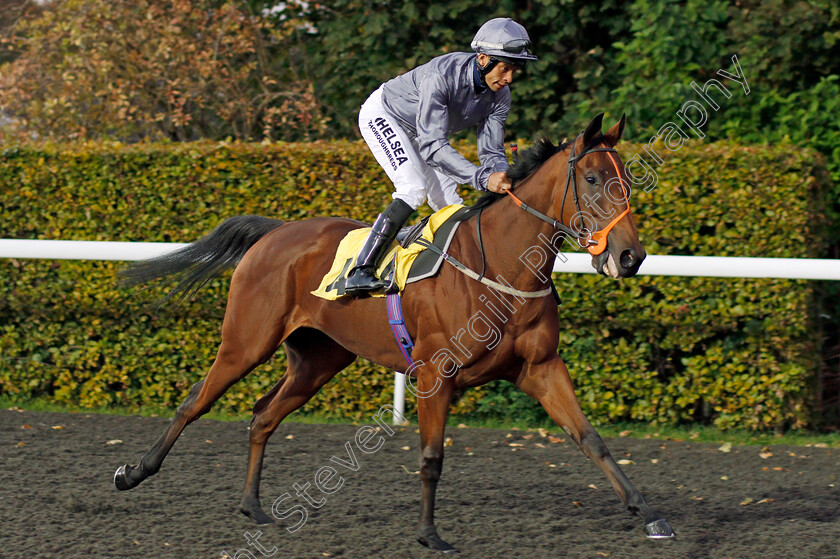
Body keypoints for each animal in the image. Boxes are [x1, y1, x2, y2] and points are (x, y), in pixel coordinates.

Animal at [113, 114, 676, 552]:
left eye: (626, 179)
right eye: (594, 180)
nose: (630, 256)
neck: (500, 267)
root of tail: (275, 232)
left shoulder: (541, 368)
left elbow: (592, 439)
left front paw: (649, 513)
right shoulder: (434, 374)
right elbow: (431, 457)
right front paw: (430, 534)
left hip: (318, 360)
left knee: (263, 415)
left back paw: (253, 506)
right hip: (245, 342)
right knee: (195, 401)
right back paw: (134, 472)